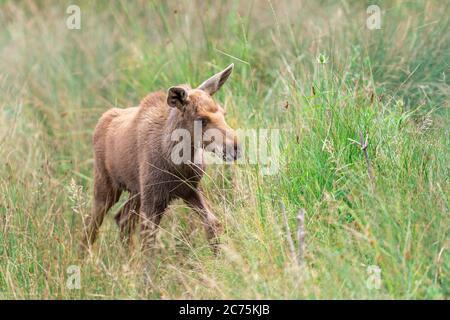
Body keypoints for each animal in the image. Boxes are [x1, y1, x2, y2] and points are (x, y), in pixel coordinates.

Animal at [82, 64, 241, 255]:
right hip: (106, 186)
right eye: (201, 119)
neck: (177, 162)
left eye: (224, 113)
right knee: (91, 225)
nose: (236, 147)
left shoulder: (190, 189)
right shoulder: (154, 199)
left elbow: (213, 224)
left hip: (137, 191)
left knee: (122, 219)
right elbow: (148, 246)